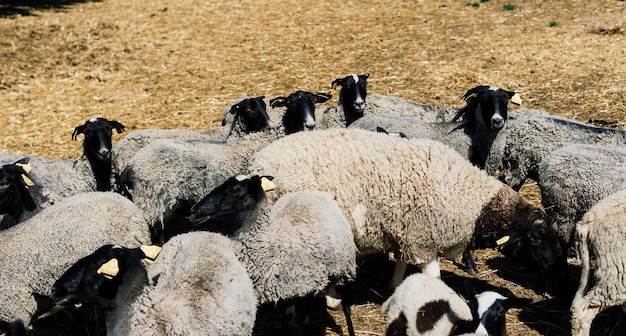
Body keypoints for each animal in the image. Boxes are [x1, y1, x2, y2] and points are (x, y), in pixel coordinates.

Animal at [246, 127, 544, 288]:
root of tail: (258, 164)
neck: (468, 198)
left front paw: (395, 284)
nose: (540, 212)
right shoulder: (423, 236)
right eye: (532, 237)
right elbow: (434, 276)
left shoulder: (405, 231)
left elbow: (401, 262)